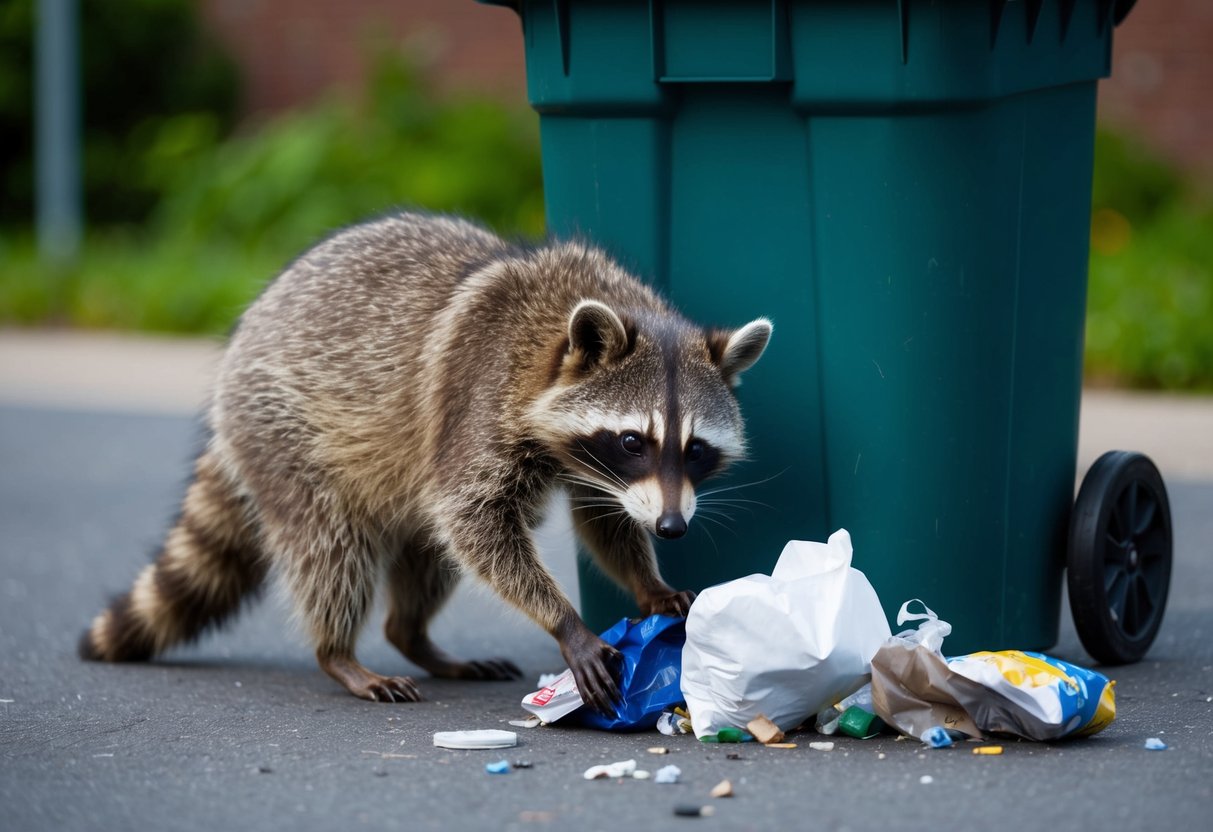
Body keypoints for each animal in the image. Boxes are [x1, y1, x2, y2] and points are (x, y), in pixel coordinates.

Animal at [79, 212, 772, 713]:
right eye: (633, 441)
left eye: (695, 449)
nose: (672, 529)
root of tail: (242, 340)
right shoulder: (480, 400)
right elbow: (475, 521)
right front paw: (565, 620)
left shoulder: (592, 465)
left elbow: (602, 517)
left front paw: (646, 581)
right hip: (280, 430)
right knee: (333, 549)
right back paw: (339, 652)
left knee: (427, 549)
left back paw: (412, 635)